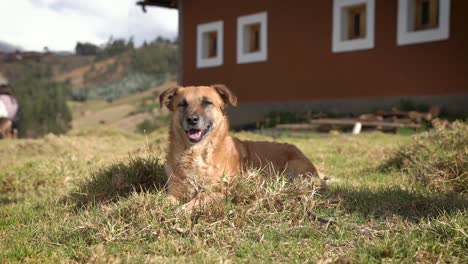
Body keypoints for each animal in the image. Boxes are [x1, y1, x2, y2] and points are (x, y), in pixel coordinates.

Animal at [159, 85, 324, 210]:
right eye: (182, 104)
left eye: (207, 103)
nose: (192, 119)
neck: (196, 154)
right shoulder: (174, 192)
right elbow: (163, 201)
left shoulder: (219, 191)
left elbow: (198, 200)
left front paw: (180, 211)